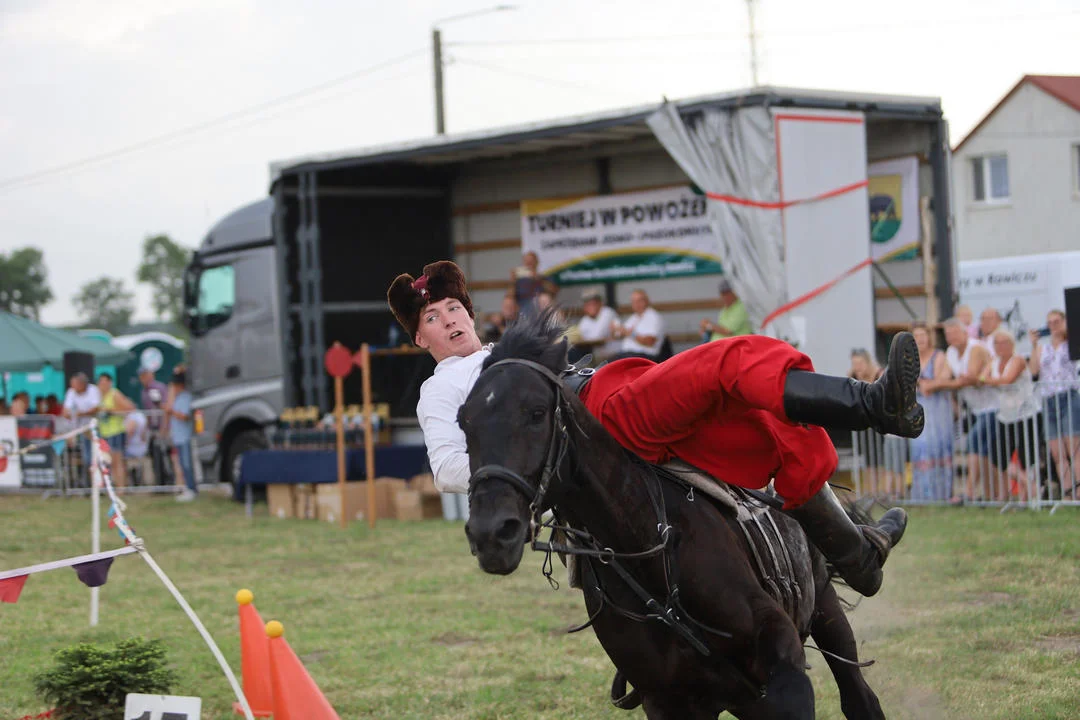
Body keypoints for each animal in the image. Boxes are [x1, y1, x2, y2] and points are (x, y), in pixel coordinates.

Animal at [460, 315, 881, 720]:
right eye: (464, 423)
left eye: (536, 413)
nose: (492, 533)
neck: (651, 546)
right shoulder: (669, 702)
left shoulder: (783, 667)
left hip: (824, 605)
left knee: (860, 699)